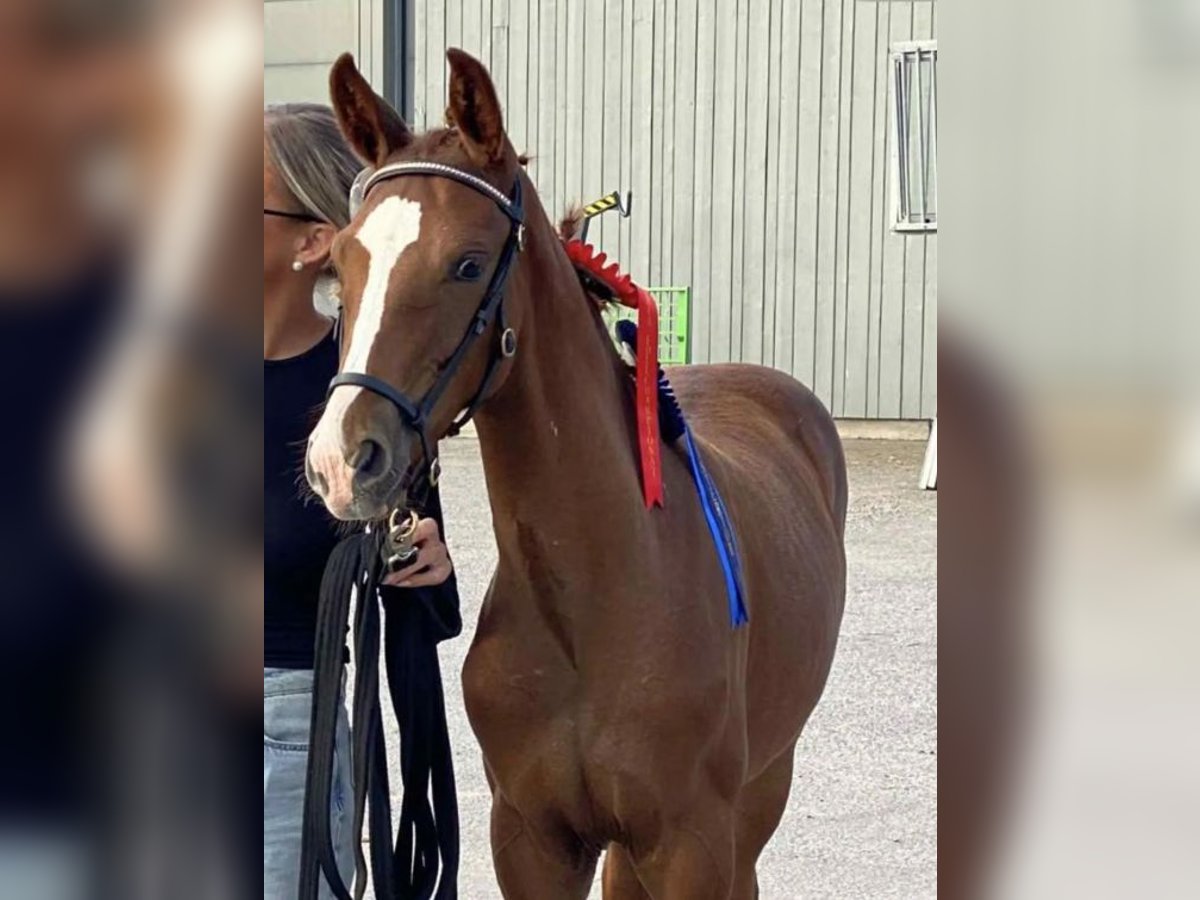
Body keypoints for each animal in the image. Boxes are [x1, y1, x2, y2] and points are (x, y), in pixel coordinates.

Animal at [306, 48, 847, 899]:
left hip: (762, 790)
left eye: (466, 264)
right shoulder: (530, 838)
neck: (600, 598)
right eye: (340, 264)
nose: (341, 459)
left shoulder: (692, 841)